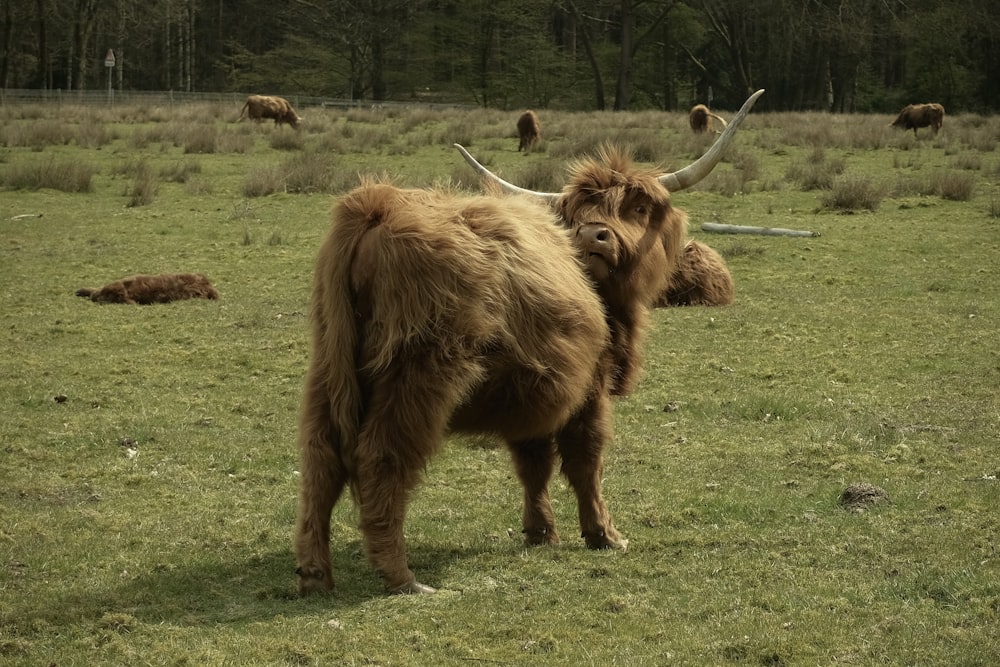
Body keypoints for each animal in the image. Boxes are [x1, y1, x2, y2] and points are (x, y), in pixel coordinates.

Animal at [296, 87, 764, 596]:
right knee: (381, 457)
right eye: (579, 212)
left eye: (638, 207)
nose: (595, 235)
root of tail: (376, 205)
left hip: (330, 362)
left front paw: (540, 532)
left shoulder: (535, 385)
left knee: (320, 458)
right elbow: (585, 458)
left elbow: (532, 461)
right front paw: (604, 535)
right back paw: (402, 578)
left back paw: (314, 574)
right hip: (420, 371)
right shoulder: (589, 386)